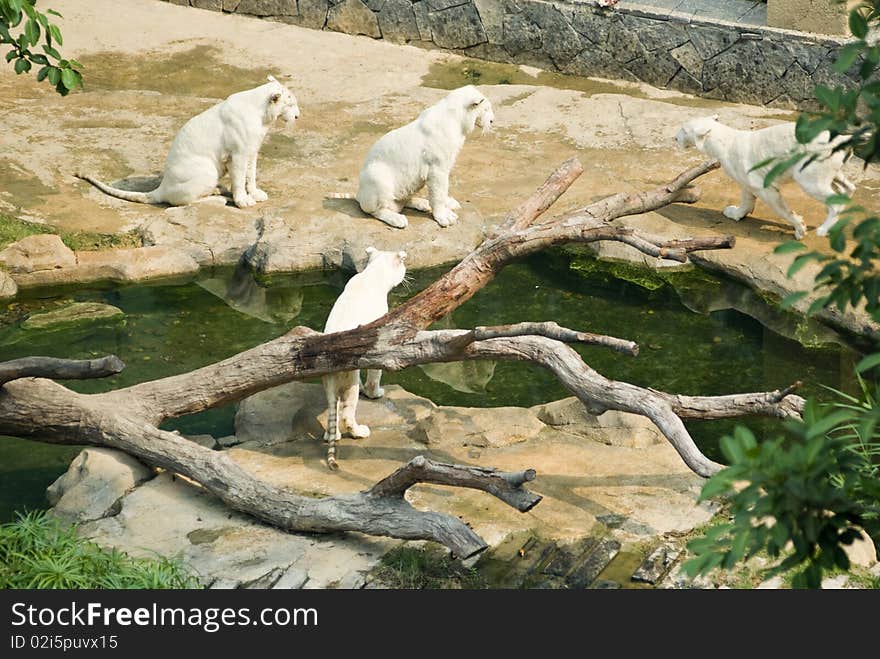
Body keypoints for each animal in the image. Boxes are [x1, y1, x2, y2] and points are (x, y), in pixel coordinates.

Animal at [79, 75, 300, 210]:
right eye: (291, 104)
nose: (298, 116)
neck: (263, 115)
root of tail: (163, 187)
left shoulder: (252, 149)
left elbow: (251, 174)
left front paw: (255, 193)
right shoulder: (237, 153)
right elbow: (239, 177)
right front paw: (243, 201)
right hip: (206, 170)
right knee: (185, 203)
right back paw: (219, 197)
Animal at [320, 246, 410, 470]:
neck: (373, 274)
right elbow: (375, 370)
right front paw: (376, 392)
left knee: (332, 406)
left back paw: (331, 435)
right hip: (347, 375)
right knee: (346, 409)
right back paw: (360, 431)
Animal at [330, 85, 496, 231]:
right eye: (486, 109)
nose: (492, 121)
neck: (458, 120)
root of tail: (359, 194)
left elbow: (442, 191)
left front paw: (449, 203)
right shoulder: (437, 168)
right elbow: (439, 192)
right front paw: (444, 217)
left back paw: (422, 204)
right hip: (376, 175)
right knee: (375, 210)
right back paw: (397, 219)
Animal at [672, 115, 852, 240]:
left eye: (683, 129)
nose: (674, 138)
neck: (722, 142)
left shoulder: (760, 183)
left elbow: (776, 203)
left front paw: (799, 229)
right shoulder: (744, 175)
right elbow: (746, 195)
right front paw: (733, 212)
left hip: (813, 164)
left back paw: (823, 228)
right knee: (846, 185)